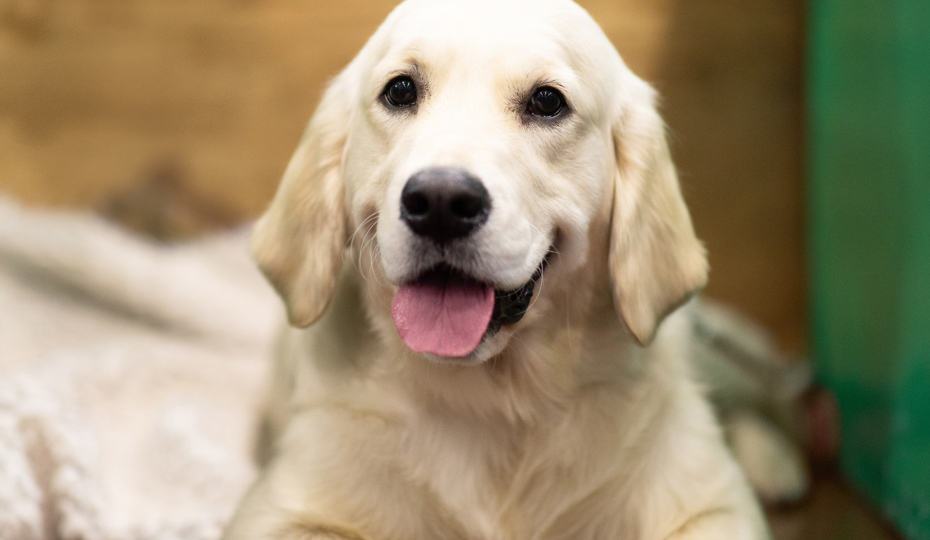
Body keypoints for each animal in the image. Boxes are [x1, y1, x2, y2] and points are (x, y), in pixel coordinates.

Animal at [225, 1, 768, 540]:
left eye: (547, 101)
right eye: (400, 90)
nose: (440, 203)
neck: (497, 399)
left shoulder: (711, 504)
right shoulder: (282, 511)